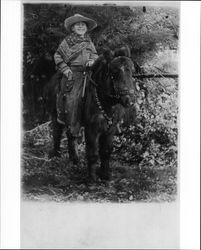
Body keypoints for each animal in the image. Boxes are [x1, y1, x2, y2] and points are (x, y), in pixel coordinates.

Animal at [47, 46, 137, 181]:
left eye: (131, 71)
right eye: (114, 73)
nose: (129, 100)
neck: (105, 101)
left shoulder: (110, 130)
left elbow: (106, 151)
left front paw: (105, 175)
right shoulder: (92, 130)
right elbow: (93, 153)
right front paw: (92, 178)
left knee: (71, 135)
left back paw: (74, 160)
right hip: (55, 115)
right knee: (57, 133)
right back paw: (56, 156)